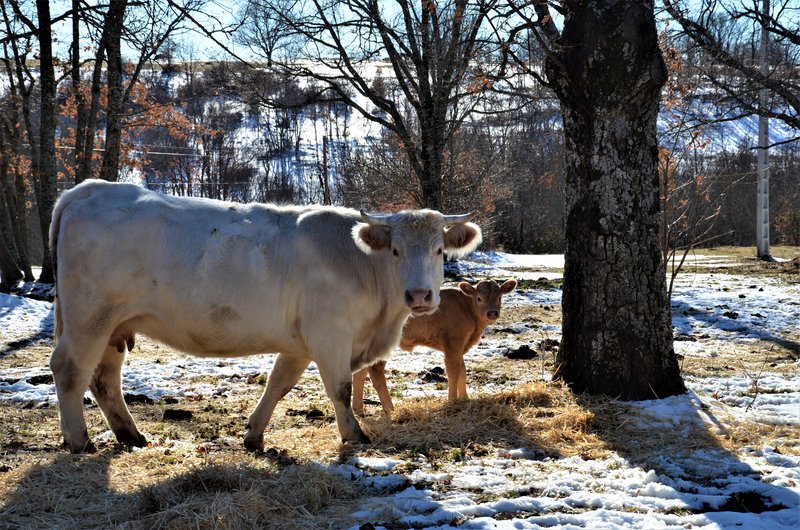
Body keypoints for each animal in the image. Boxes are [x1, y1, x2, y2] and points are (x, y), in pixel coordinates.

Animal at [50, 180, 482, 450]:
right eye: (395, 251)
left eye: (439, 250)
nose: (420, 295)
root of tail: (89, 189)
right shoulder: (331, 334)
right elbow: (340, 389)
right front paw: (354, 435)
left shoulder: (300, 342)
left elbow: (279, 384)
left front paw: (254, 436)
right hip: (89, 316)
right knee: (71, 370)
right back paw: (81, 441)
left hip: (113, 324)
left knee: (104, 378)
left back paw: (130, 436)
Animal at [352, 276, 520, 412]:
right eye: (479, 298)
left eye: (500, 297)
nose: (492, 313)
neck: (466, 307)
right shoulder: (453, 343)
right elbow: (454, 372)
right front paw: (452, 400)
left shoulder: (460, 346)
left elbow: (463, 371)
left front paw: (465, 398)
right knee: (376, 372)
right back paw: (390, 410)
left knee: (360, 373)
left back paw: (359, 409)